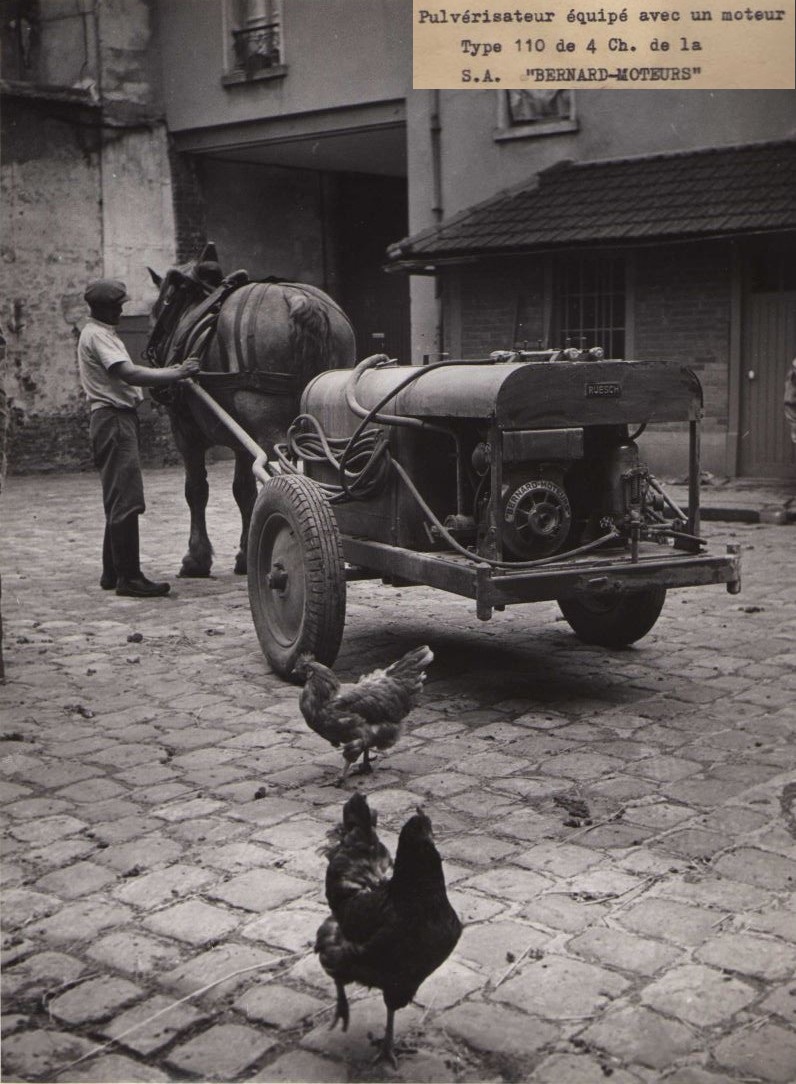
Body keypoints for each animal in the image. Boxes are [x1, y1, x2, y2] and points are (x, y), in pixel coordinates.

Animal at [145, 246, 357, 581]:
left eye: (160, 307)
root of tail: (302, 303)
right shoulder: (241, 441)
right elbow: (243, 492)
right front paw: (245, 555)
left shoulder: (185, 432)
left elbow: (197, 490)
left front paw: (196, 558)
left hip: (269, 427)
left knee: (281, 477)